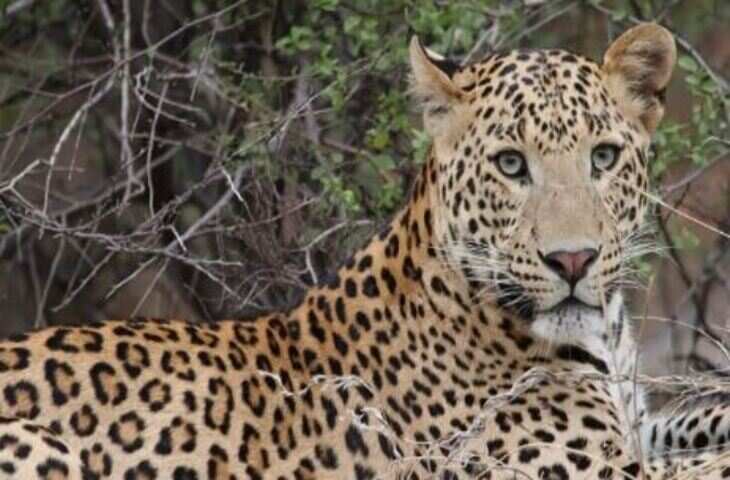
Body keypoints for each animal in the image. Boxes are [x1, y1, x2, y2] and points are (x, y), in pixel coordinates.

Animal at [1, 22, 730, 479]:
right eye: (511, 165)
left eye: (602, 158)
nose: (573, 261)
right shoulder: (584, 469)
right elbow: (703, 464)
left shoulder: (638, 426)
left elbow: (700, 418)